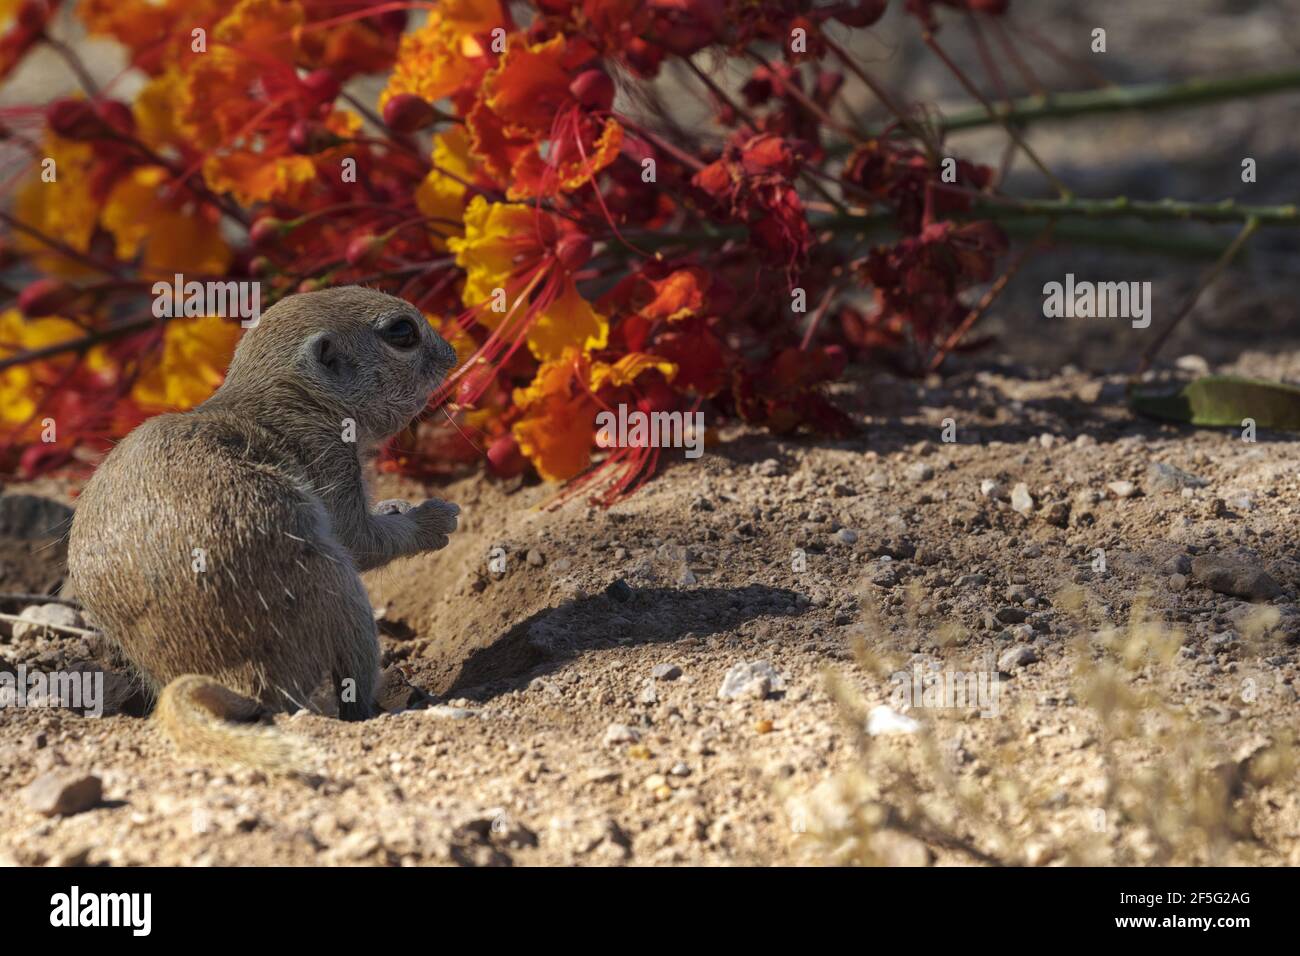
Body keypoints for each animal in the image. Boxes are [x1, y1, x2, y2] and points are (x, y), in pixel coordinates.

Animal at [68, 287, 462, 775]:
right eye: (402, 332)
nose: (453, 353)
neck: (296, 398)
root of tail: (235, 676)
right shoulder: (327, 456)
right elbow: (359, 539)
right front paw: (434, 518)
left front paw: (396, 505)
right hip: (341, 593)